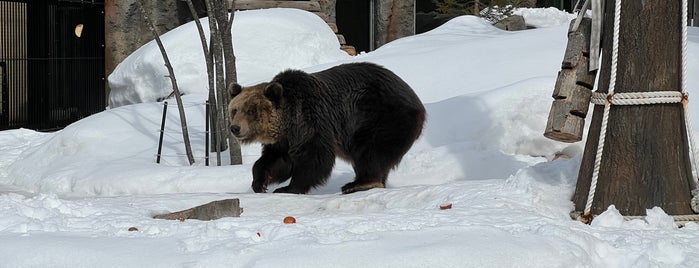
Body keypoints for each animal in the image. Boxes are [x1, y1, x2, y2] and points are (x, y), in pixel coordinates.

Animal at [230, 61, 426, 194]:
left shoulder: (310, 119)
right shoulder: (284, 140)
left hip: (381, 117)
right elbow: (277, 161)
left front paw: (289, 187)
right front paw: (259, 183)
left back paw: (359, 183)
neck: (287, 121)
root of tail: (418, 102)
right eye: (234, 110)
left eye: (251, 111)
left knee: (371, 150)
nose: (235, 128)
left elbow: (315, 156)